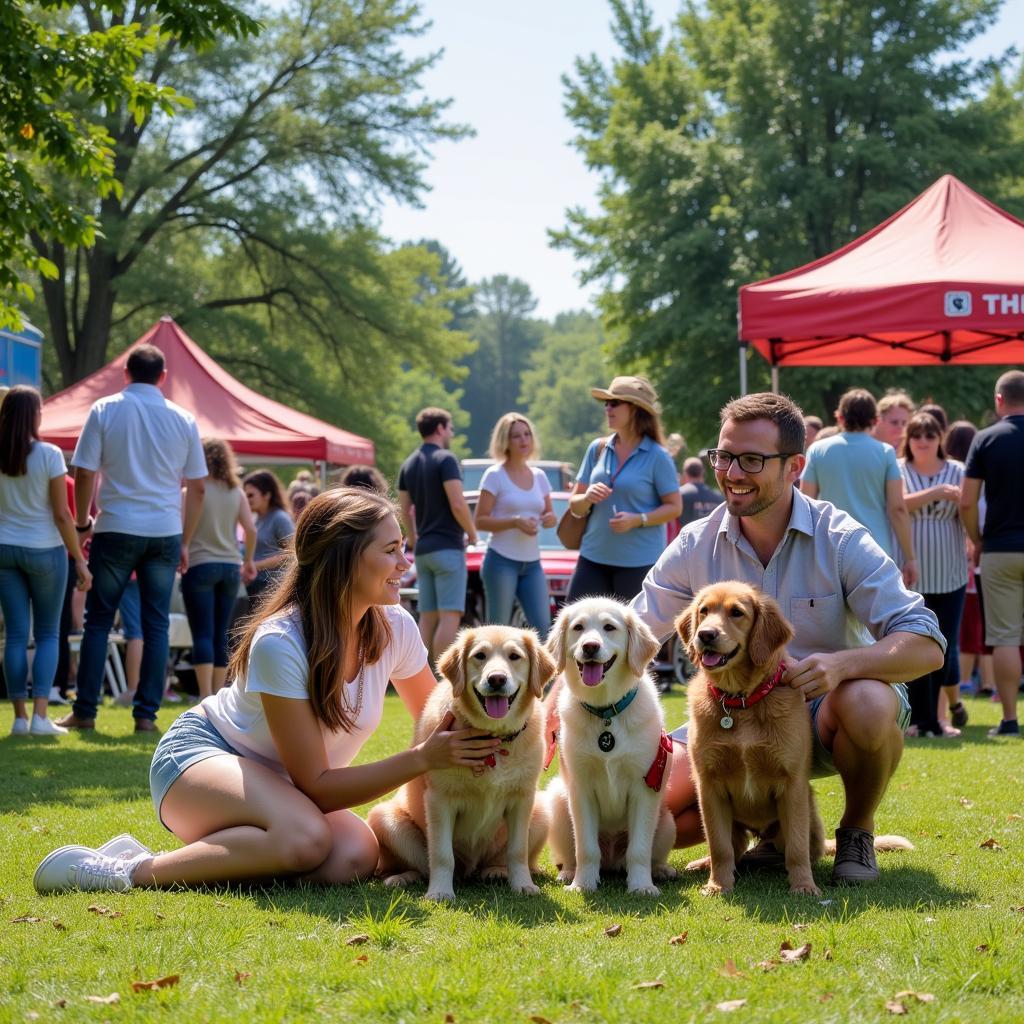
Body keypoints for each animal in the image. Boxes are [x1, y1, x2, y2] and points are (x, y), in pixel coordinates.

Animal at [368, 622, 557, 905]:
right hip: (384, 818)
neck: (492, 737)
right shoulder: (439, 800)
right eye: (480, 656)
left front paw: (523, 885)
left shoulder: (523, 797)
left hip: (543, 811)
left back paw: (496, 871)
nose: (497, 679)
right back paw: (402, 878)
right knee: (419, 865)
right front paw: (440, 891)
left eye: (514, 656)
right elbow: (442, 855)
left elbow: (517, 851)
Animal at [544, 598, 679, 892]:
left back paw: (661, 870)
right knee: (572, 854)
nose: (590, 647)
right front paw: (583, 884)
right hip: (557, 803)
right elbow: (586, 848)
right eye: (578, 627)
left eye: (609, 627)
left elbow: (639, 849)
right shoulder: (580, 788)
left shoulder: (644, 788)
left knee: (647, 854)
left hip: (666, 820)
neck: (606, 712)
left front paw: (641, 886)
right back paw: (568, 873)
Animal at [675, 585, 827, 897]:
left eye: (737, 612)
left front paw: (804, 885)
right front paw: (718, 885)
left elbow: (797, 848)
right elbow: (719, 846)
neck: (741, 702)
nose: (705, 635)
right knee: (735, 848)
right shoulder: (709, 788)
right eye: (703, 611)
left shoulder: (792, 785)